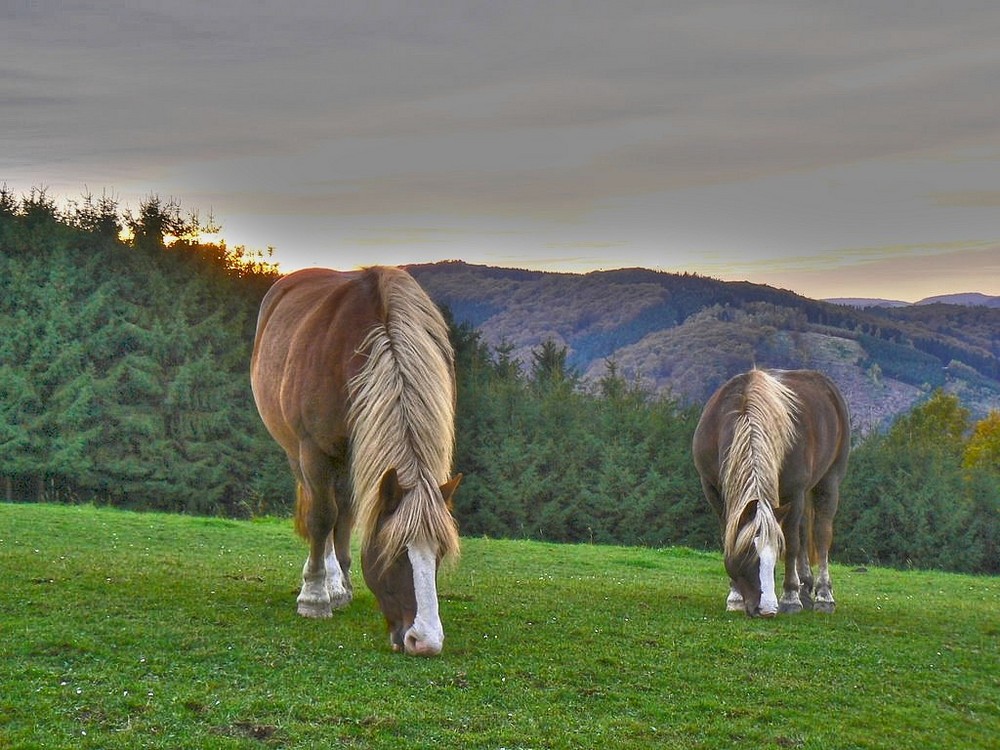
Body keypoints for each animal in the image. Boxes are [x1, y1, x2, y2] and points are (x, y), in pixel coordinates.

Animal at [254, 268, 464, 656]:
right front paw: (314, 597)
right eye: (392, 554)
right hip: (299, 453)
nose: (424, 641)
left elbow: (346, 518)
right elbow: (322, 517)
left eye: (440, 553)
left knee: (345, 512)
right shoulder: (314, 451)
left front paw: (339, 585)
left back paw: (340, 584)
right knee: (323, 510)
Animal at [692, 368, 848, 616]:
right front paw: (735, 597)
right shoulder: (712, 488)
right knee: (804, 532)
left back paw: (823, 596)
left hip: (828, 481)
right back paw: (806, 589)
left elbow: (792, 543)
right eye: (747, 555)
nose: (765, 609)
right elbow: (728, 533)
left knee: (821, 534)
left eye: (775, 554)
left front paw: (790, 597)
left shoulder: (794, 492)